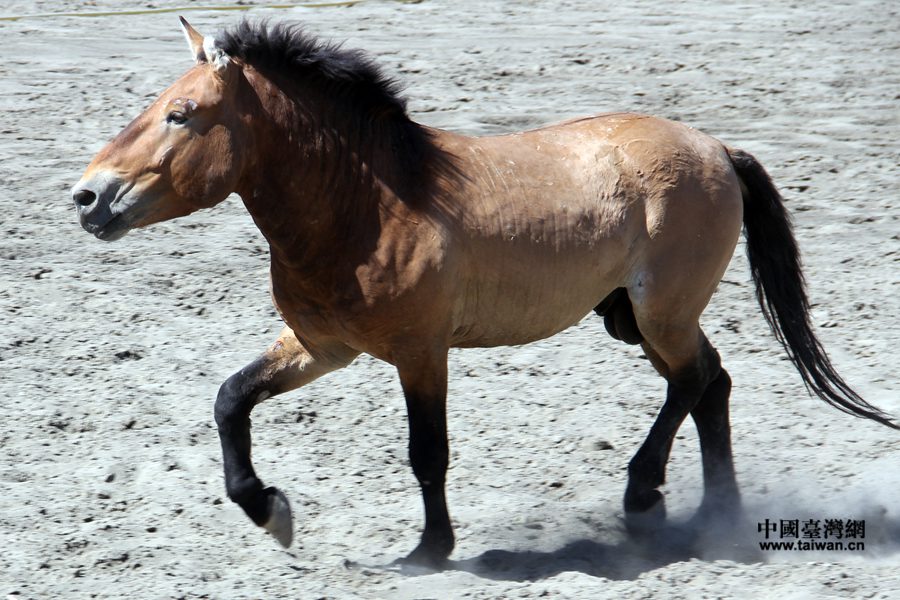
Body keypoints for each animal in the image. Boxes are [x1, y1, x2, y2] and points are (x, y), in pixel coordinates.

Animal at [68, 18, 892, 568]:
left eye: (181, 115)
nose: (87, 198)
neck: (369, 204)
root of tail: (717, 148)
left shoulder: (419, 353)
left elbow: (427, 452)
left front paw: (429, 551)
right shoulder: (323, 346)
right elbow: (230, 399)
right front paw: (270, 511)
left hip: (660, 315)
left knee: (693, 383)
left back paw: (645, 497)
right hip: (637, 319)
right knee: (711, 384)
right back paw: (715, 515)